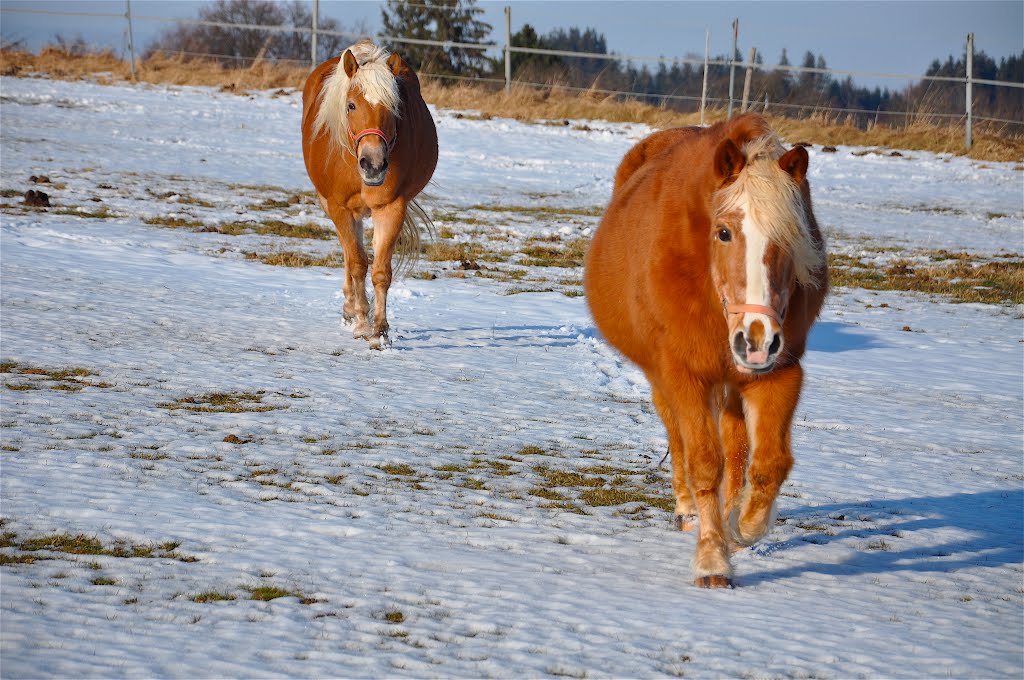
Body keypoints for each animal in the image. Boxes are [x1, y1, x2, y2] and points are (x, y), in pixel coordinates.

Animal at [299, 39, 436, 348]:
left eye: (393, 107)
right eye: (351, 105)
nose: (373, 164)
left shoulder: (391, 207)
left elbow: (381, 272)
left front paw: (380, 332)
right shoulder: (339, 207)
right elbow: (358, 264)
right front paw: (362, 322)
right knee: (348, 253)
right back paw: (350, 309)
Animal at [585, 114, 823, 585]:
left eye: (792, 239)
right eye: (724, 232)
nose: (757, 340)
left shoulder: (781, 372)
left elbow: (769, 463)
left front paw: (742, 528)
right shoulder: (684, 373)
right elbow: (704, 463)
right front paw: (713, 559)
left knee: (736, 447)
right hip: (664, 377)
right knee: (678, 438)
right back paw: (687, 511)